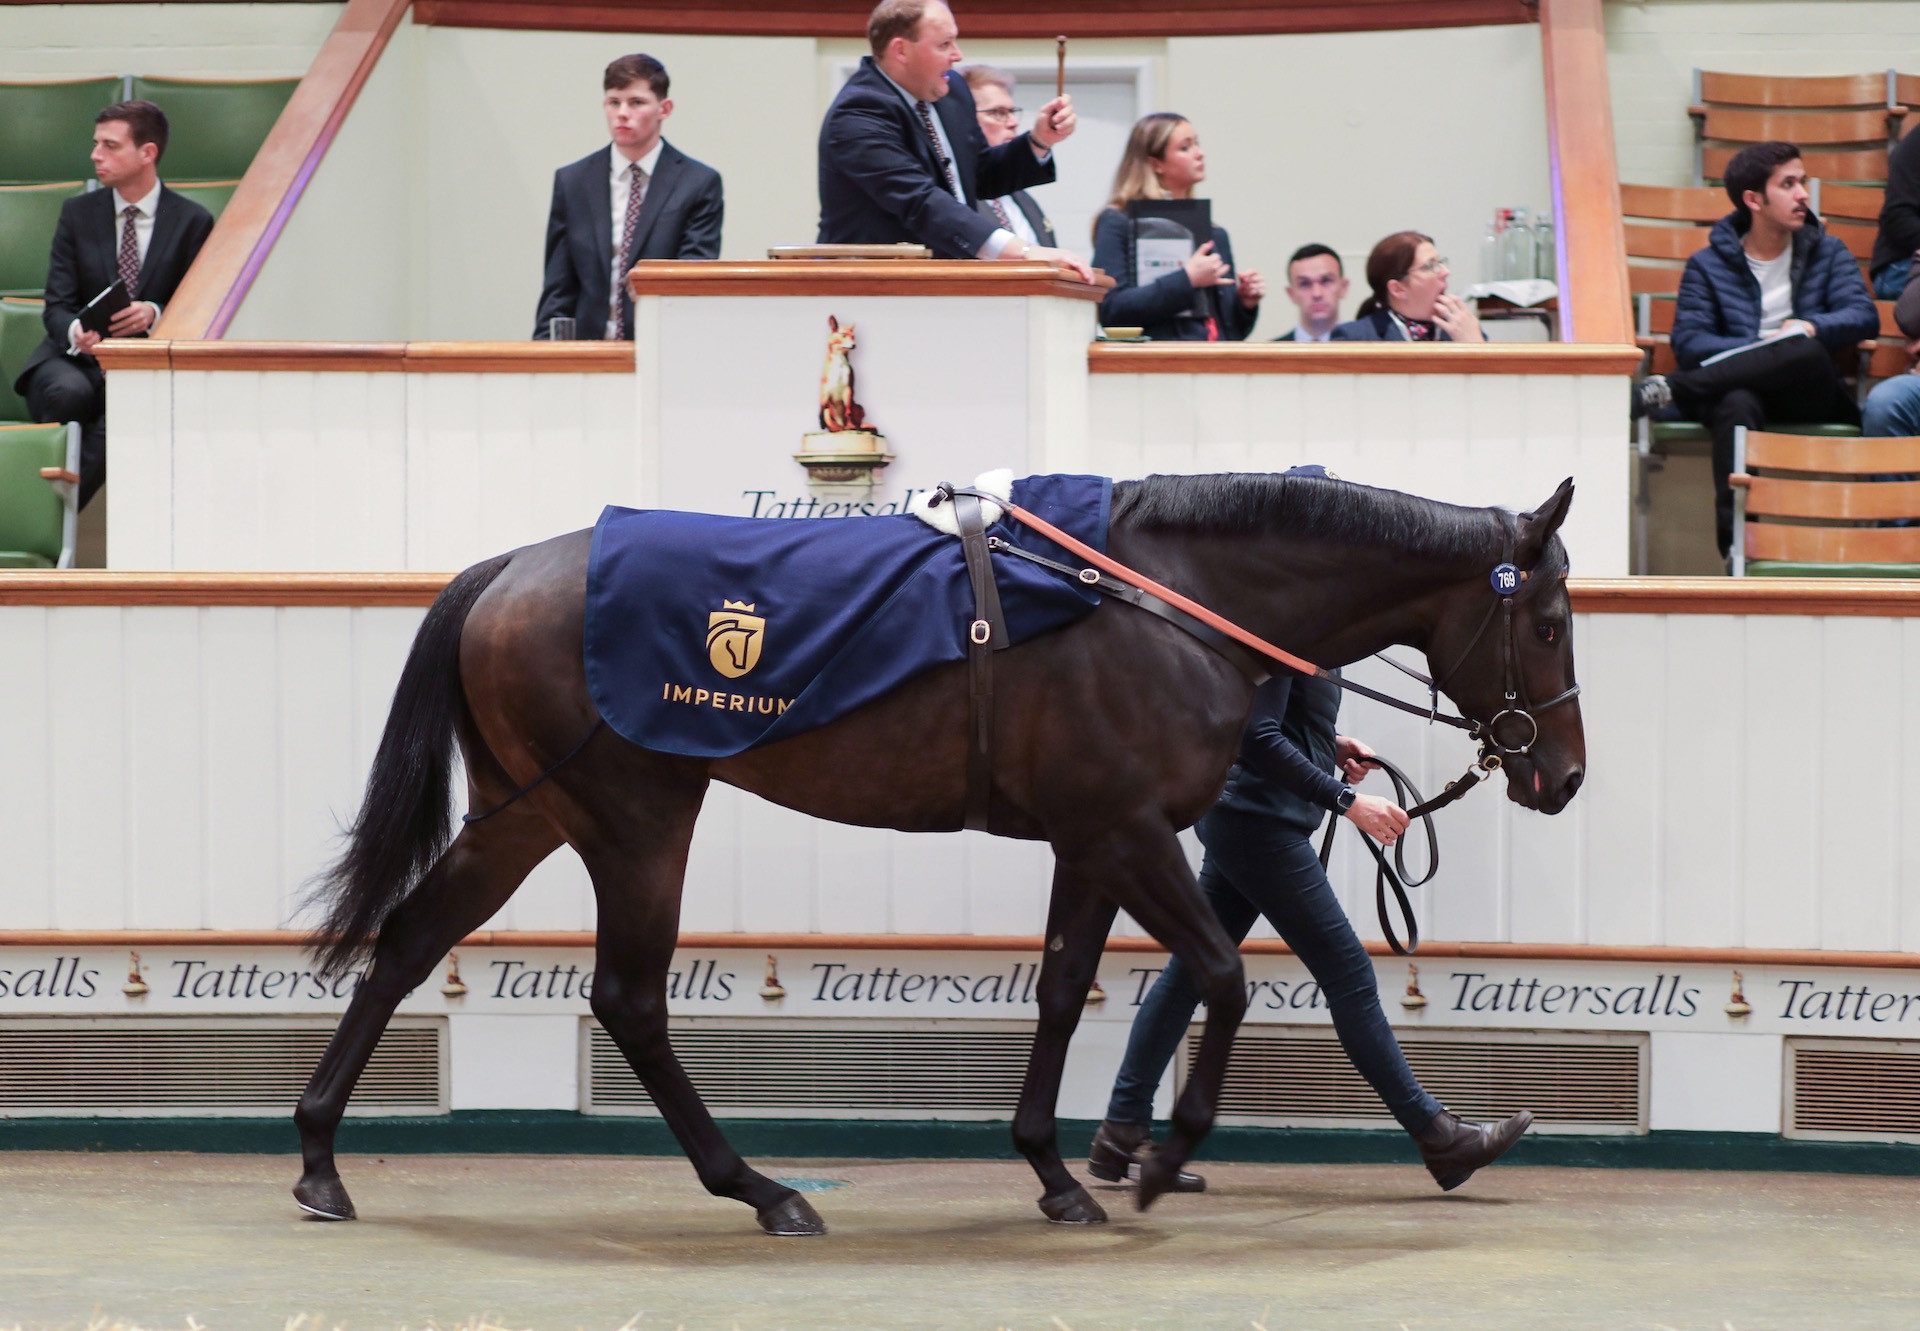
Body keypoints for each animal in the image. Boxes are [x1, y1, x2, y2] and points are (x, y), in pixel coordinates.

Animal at [291, 470, 1582, 1236]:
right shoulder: (1128, 830)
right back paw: (759, 1187)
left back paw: (318, 1156)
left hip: (527, 809)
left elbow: (1065, 988)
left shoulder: (1091, 837)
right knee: (629, 998)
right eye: (1552, 619)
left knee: (409, 941)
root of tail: (506, 569)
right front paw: (1159, 1156)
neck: (1165, 601)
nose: (1560, 775)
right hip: (636, 814)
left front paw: (1057, 1168)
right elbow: (1219, 977)